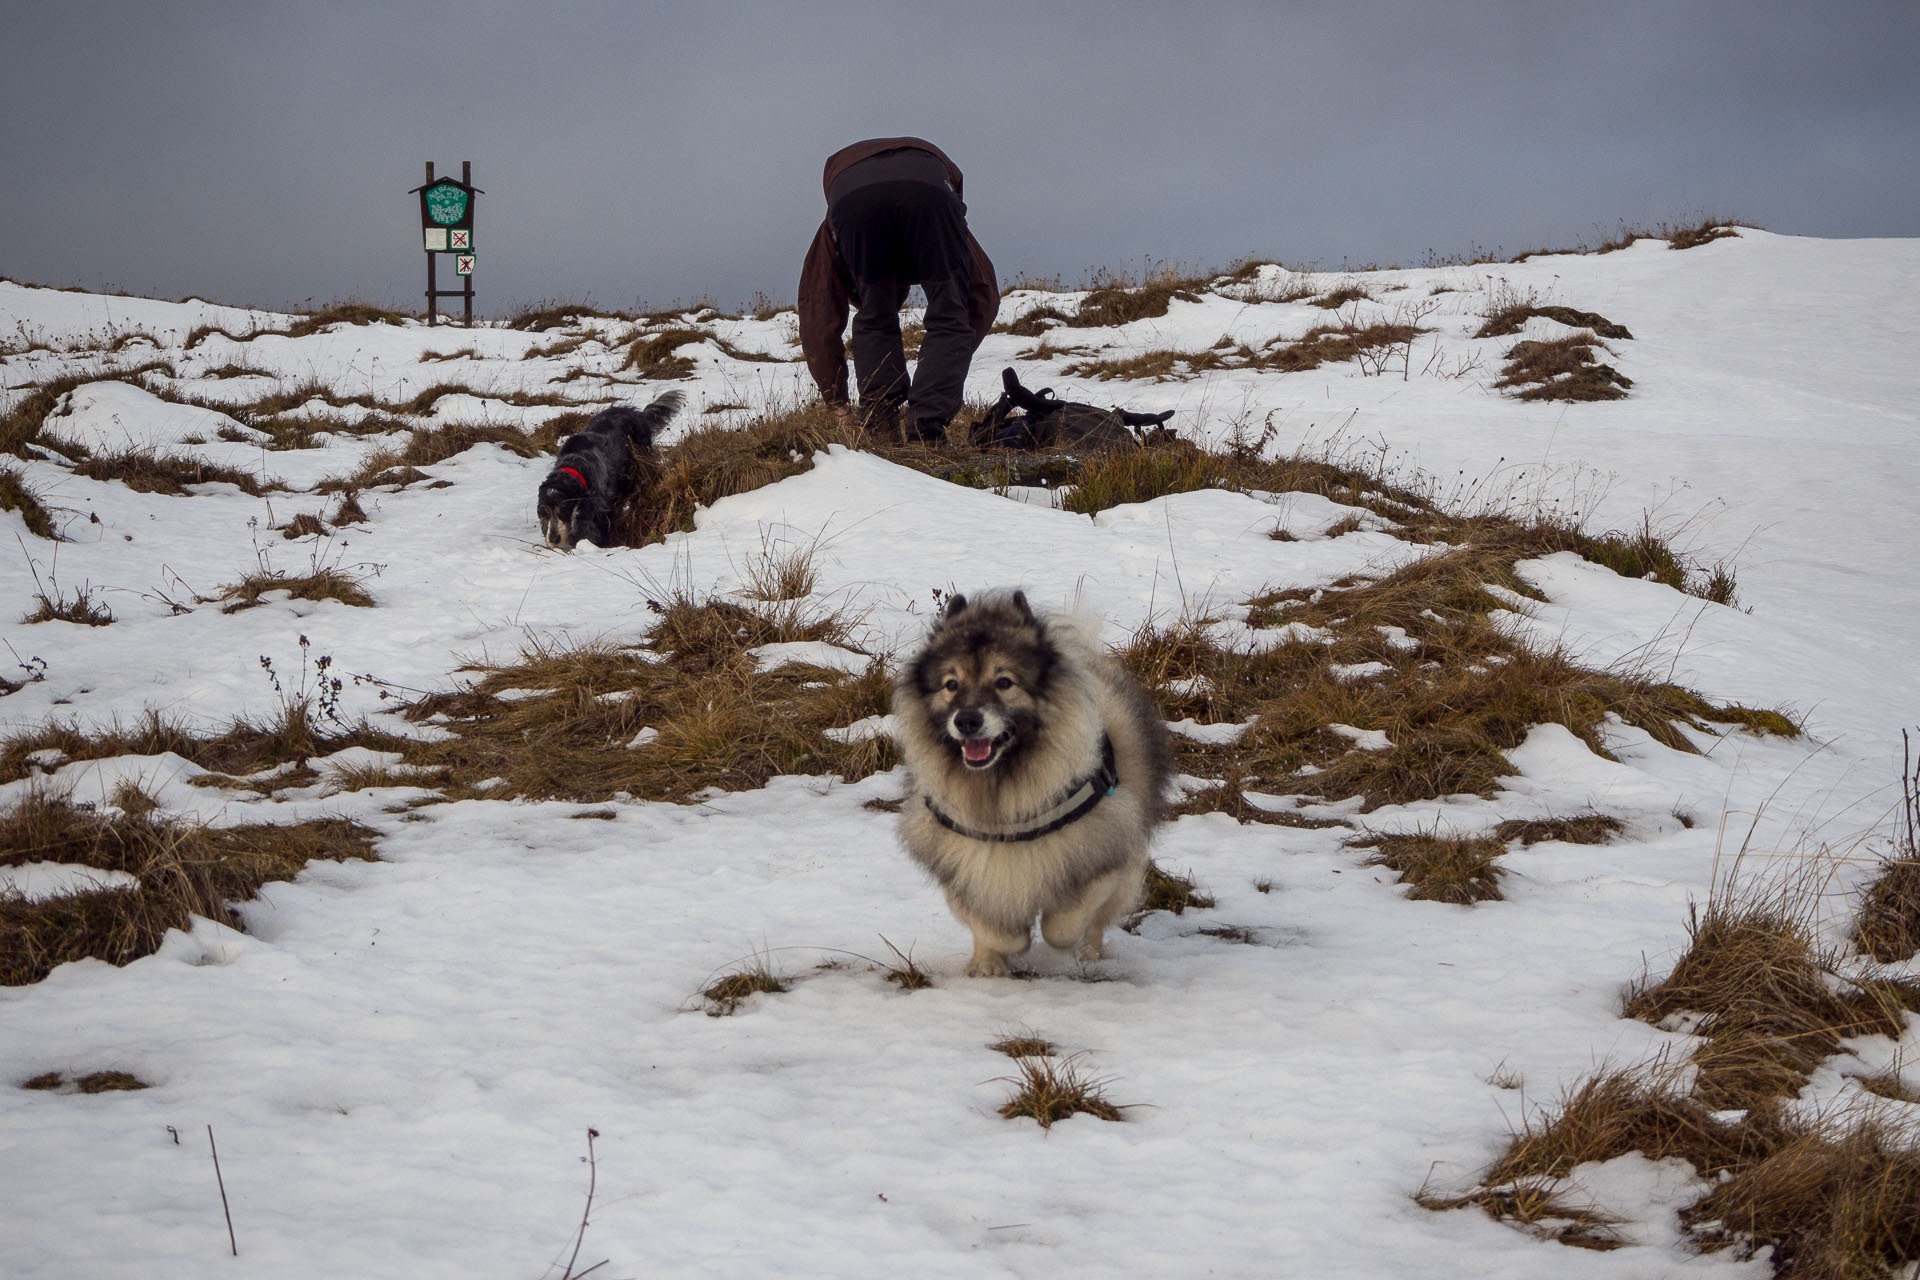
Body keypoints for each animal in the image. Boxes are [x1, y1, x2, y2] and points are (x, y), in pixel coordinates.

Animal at [537, 391, 687, 552]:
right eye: (545, 510)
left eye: (563, 508)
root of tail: (636, 413)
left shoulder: (600, 511)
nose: (553, 539)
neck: (576, 465)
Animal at [894, 594, 1167, 982]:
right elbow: (992, 926)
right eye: (951, 684)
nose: (966, 720)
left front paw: (1061, 945)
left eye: (1004, 682)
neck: (1002, 786)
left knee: (1095, 925)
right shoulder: (965, 863)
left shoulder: (1104, 853)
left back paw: (1089, 958)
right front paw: (999, 955)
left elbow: (1065, 923)